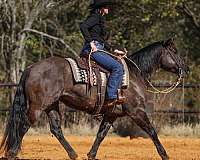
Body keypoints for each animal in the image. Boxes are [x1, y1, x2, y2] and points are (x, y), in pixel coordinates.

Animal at [0, 38, 189, 159]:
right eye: (174, 51)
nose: (186, 69)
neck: (135, 75)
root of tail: (31, 68)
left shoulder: (111, 114)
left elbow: (101, 134)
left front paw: (91, 155)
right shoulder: (136, 111)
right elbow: (152, 131)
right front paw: (165, 155)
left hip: (51, 105)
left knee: (56, 129)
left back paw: (73, 154)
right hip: (38, 106)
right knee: (23, 125)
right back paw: (12, 153)